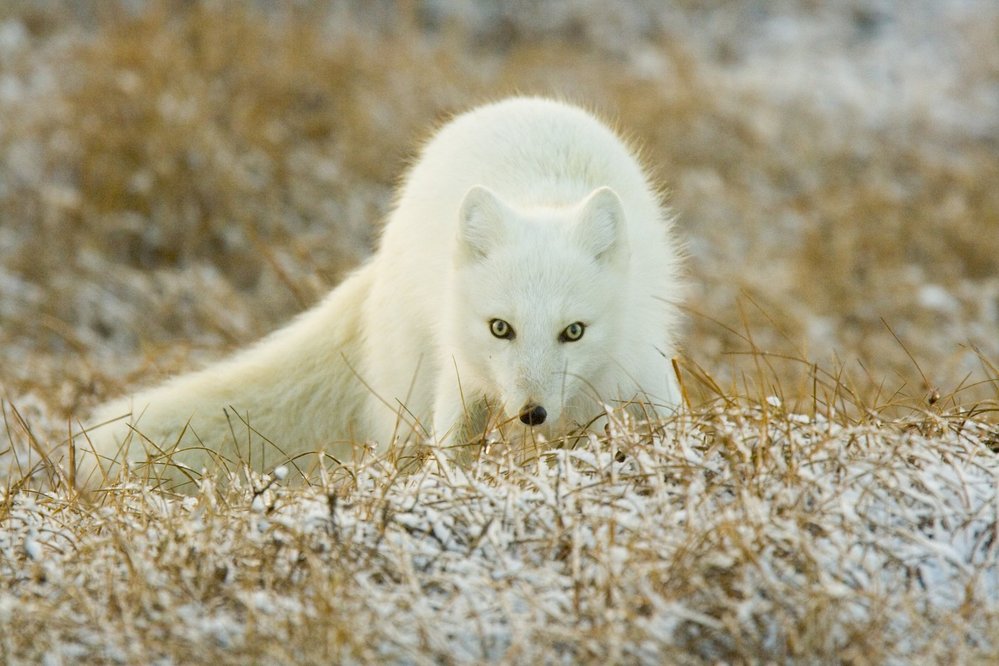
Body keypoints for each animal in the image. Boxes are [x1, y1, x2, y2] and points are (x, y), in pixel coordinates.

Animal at [76, 96, 688, 486]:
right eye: (501, 328)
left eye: (574, 332)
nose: (531, 413)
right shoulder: (461, 376)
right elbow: (452, 450)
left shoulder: (641, 365)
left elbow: (669, 421)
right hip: (412, 388)